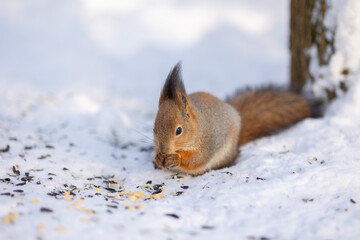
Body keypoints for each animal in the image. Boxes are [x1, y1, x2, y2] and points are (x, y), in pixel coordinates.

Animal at [153, 62, 320, 175]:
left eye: (179, 130)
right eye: (154, 129)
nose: (164, 149)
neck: (197, 127)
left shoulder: (207, 144)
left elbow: (196, 160)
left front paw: (175, 159)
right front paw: (158, 158)